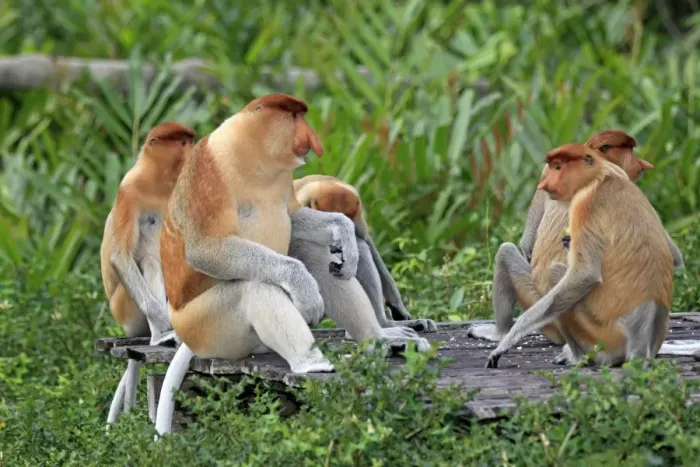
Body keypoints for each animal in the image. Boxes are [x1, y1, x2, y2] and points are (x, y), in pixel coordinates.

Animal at [99, 121, 195, 424]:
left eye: (190, 141)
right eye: (182, 143)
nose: (193, 149)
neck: (161, 182)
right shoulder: (128, 192)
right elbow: (120, 256)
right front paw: (164, 324)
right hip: (125, 308)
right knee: (150, 262)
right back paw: (161, 335)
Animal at [154, 94, 360, 436]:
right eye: (295, 117)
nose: (312, 139)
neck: (254, 156)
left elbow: (293, 217)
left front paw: (346, 234)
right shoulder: (208, 171)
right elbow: (206, 249)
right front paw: (303, 287)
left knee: (315, 258)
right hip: (207, 328)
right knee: (254, 288)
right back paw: (312, 363)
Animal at [292, 174, 438, 333]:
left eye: (349, 217)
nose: (336, 245)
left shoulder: (358, 215)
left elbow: (366, 240)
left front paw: (398, 307)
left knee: (360, 247)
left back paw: (385, 324)